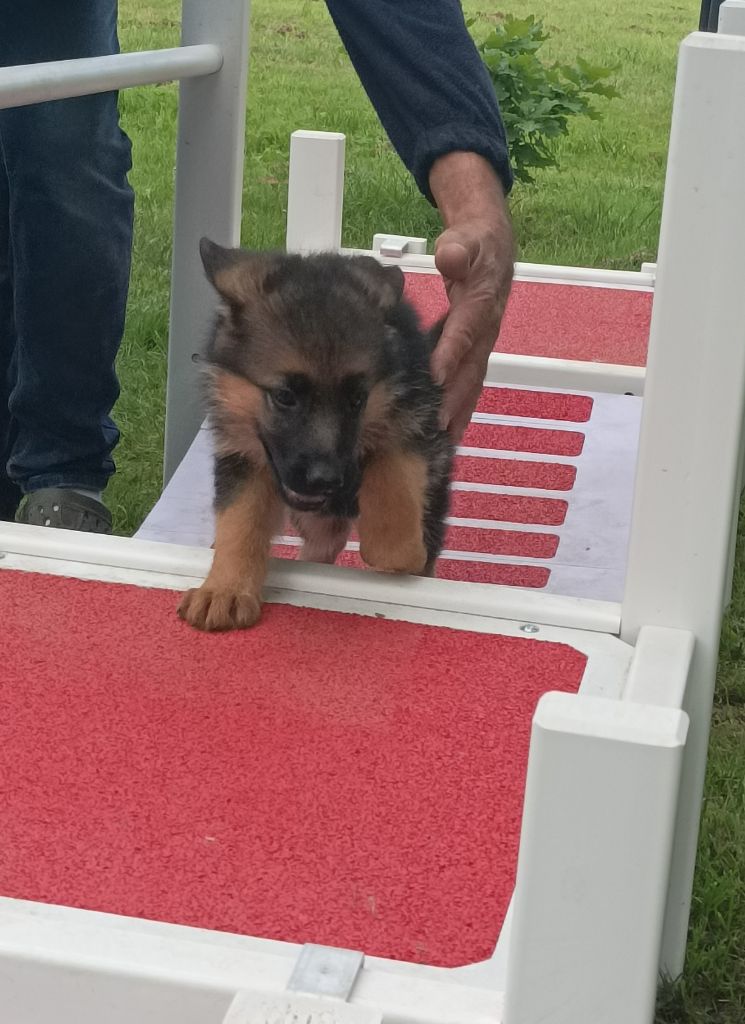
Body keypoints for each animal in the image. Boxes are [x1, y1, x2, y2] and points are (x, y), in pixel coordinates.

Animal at [177, 239, 453, 632]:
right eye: (284, 396)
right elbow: (239, 520)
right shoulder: (242, 456)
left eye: (357, 400)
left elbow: (392, 468)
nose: (325, 480)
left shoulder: (416, 416)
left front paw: (394, 545)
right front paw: (225, 589)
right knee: (320, 545)